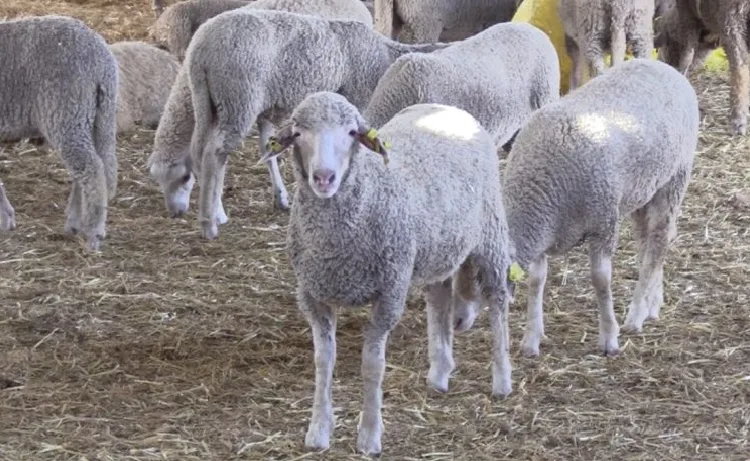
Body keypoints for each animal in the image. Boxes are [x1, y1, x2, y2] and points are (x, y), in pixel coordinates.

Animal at [0, 15, 118, 251]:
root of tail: (101, 60)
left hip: (66, 111)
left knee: (91, 169)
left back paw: (93, 233)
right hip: (100, 116)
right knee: (96, 166)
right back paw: (75, 222)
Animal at [147, 9, 450, 240]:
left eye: (183, 178)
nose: (174, 214)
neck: (385, 58)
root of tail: (200, 49)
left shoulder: (267, 111)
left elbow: (269, 149)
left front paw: (281, 197)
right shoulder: (358, 100)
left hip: (213, 104)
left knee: (203, 154)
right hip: (238, 99)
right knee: (216, 154)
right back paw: (212, 220)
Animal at [259, 91, 514, 455]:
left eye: (352, 132)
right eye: (297, 133)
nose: (323, 178)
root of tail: (449, 108)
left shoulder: (389, 292)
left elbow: (372, 364)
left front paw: (369, 436)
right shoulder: (312, 294)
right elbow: (323, 360)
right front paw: (318, 430)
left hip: (490, 233)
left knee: (498, 299)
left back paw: (502, 379)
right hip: (436, 248)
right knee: (440, 298)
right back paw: (439, 373)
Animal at [469, 58, 698, 359]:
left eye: (479, 282)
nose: (458, 322)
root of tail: (663, 66)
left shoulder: (603, 223)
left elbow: (600, 280)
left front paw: (609, 337)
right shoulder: (544, 234)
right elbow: (537, 281)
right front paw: (531, 339)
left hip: (675, 178)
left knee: (658, 240)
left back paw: (636, 316)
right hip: (643, 190)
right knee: (649, 241)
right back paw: (652, 303)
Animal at [654, 0, 749, 136]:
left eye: (665, 45)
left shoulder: (687, 18)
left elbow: (688, 54)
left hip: (731, 18)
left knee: (740, 63)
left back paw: (737, 123)